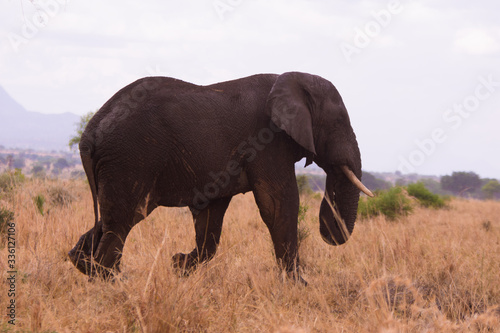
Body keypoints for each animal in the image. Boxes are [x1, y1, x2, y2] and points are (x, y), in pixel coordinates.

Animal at [67, 71, 372, 282]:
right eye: (339, 123)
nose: (328, 232)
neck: (290, 79)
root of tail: (89, 134)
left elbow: (210, 218)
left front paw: (178, 265)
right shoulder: (267, 141)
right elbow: (278, 205)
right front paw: (299, 286)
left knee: (110, 222)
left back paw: (82, 264)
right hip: (129, 159)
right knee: (121, 223)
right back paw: (115, 284)